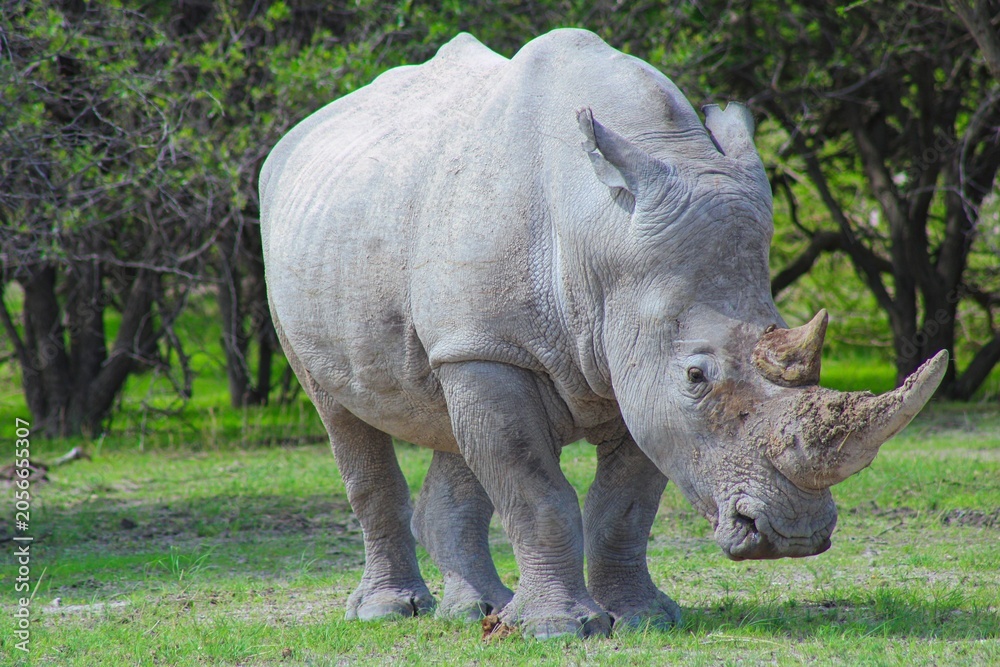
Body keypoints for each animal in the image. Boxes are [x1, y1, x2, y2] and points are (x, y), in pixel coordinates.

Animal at [260, 29, 947, 639]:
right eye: (697, 376)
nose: (793, 535)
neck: (602, 236)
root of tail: (294, 139)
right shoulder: (505, 350)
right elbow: (536, 491)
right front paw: (556, 631)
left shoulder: (628, 362)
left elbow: (624, 506)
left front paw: (644, 619)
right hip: (309, 251)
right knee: (341, 414)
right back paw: (390, 613)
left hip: (416, 281)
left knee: (448, 416)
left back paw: (477, 612)